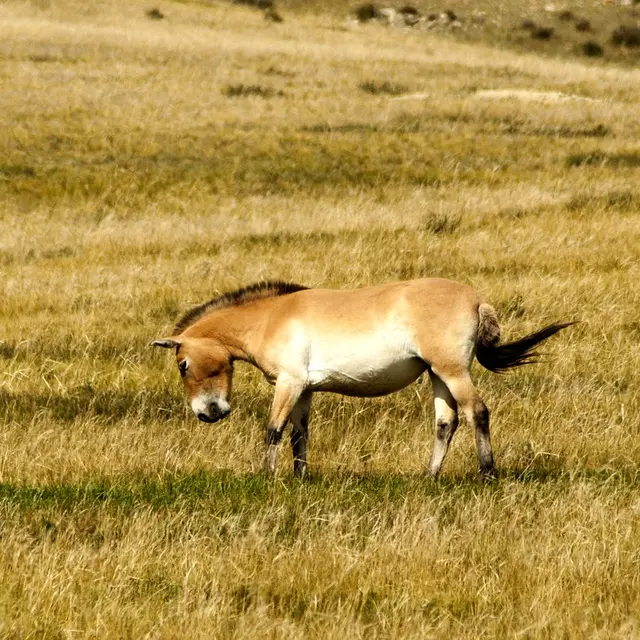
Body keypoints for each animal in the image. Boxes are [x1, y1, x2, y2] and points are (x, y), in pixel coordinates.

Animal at [152, 279, 573, 477]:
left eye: (182, 365)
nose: (207, 413)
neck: (271, 317)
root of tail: (476, 300)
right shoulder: (305, 389)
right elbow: (299, 434)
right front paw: (300, 477)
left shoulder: (289, 383)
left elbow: (273, 430)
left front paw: (267, 477)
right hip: (437, 373)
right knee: (446, 422)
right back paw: (430, 476)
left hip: (453, 371)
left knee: (477, 412)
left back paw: (487, 474)